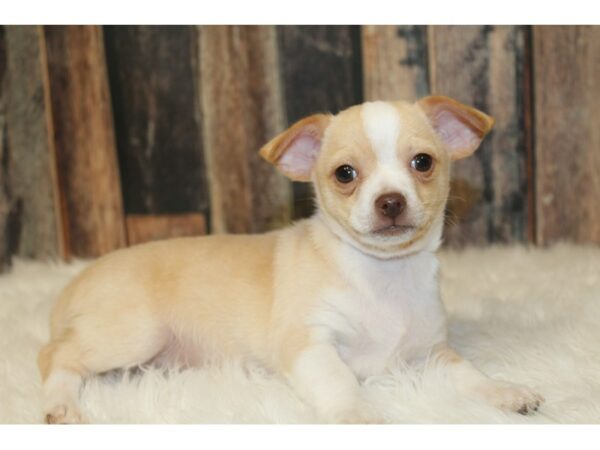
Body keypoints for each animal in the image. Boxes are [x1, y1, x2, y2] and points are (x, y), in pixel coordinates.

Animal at [37, 96, 544, 424]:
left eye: (423, 163)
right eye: (345, 174)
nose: (391, 202)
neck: (383, 275)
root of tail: (76, 282)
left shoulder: (432, 354)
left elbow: (470, 374)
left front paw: (505, 390)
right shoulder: (309, 344)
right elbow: (340, 382)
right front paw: (358, 418)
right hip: (136, 333)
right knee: (55, 355)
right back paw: (62, 405)